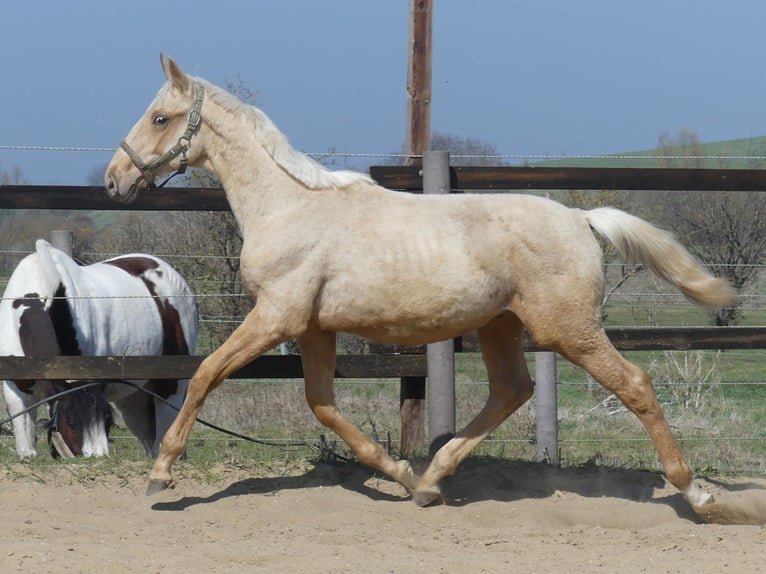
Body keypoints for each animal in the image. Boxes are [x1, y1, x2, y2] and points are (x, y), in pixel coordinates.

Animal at [0, 238, 198, 458]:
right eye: (71, 422)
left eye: (108, 422)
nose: (99, 458)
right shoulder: (16, 386)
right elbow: (24, 433)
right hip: (134, 397)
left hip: (171, 384)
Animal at [104, 55, 736, 521]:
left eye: (160, 118)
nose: (114, 179)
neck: (287, 207)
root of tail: (581, 220)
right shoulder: (312, 328)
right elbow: (322, 404)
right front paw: (402, 475)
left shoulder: (276, 315)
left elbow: (206, 374)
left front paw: (161, 473)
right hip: (500, 325)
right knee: (512, 391)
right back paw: (432, 482)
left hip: (567, 330)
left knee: (634, 385)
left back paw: (698, 493)